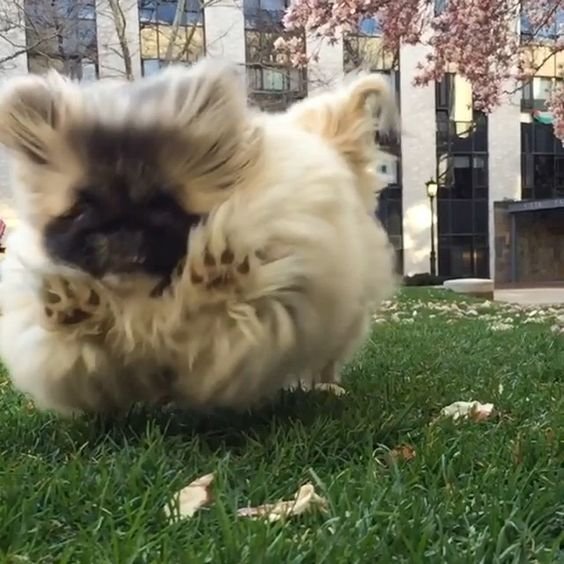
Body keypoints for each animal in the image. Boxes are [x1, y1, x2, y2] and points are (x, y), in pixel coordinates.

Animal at [0, 60, 396, 414]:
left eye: (163, 205)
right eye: (81, 208)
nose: (121, 228)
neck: (142, 299)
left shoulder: (248, 325)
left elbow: (212, 313)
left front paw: (217, 264)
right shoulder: (77, 359)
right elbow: (87, 342)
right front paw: (72, 301)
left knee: (326, 359)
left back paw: (326, 388)